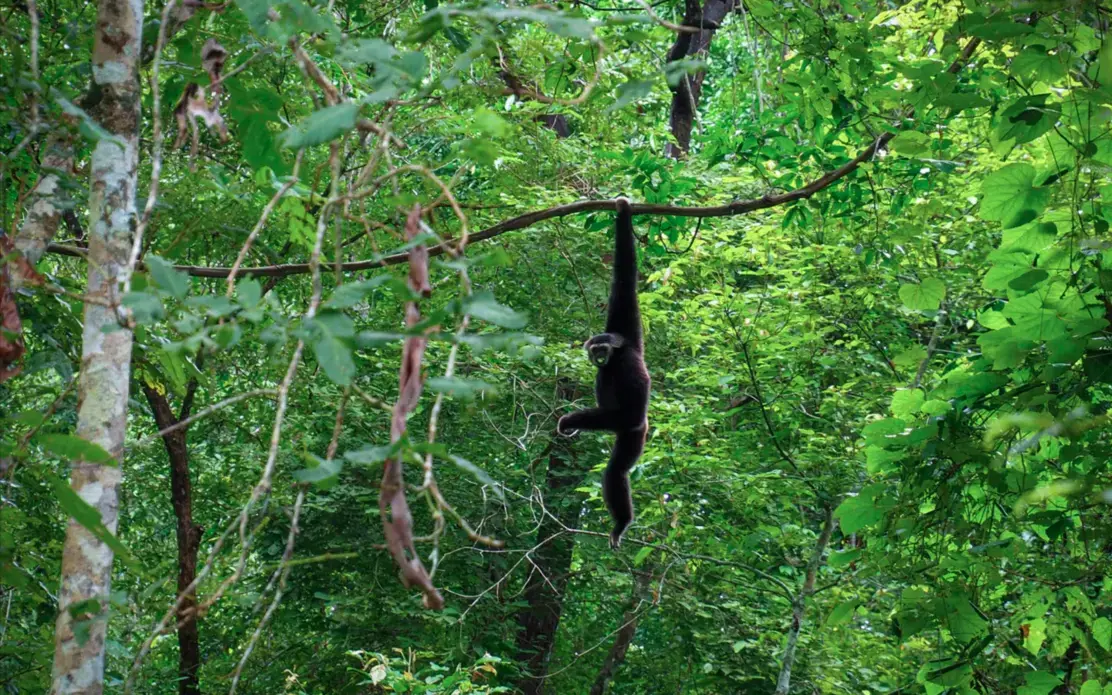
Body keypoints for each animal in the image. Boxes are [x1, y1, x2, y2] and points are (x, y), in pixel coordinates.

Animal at [558, 197, 650, 549]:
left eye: (603, 349)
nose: (598, 356)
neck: (620, 351)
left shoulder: (626, 366)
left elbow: (629, 410)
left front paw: (570, 420)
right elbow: (622, 281)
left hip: (636, 433)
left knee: (615, 471)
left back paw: (621, 522)